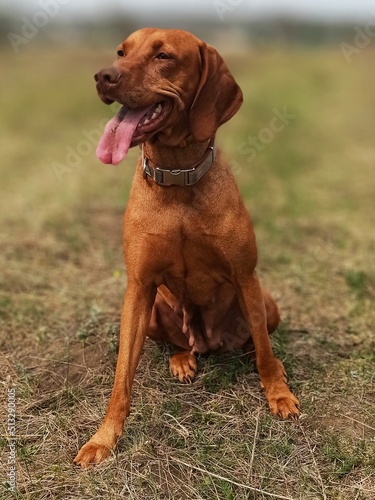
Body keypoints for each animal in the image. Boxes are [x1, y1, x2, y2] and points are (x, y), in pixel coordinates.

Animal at [75, 25, 302, 466]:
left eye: (163, 56)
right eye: (121, 52)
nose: (103, 76)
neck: (177, 177)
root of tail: (208, 342)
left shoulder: (245, 276)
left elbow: (264, 352)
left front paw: (278, 395)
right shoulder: (139, 287)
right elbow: (121, 379)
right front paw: (103, 438)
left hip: (266, 301)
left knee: (258, 344)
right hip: (154, 312)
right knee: (178, 342)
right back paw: (182, 359)